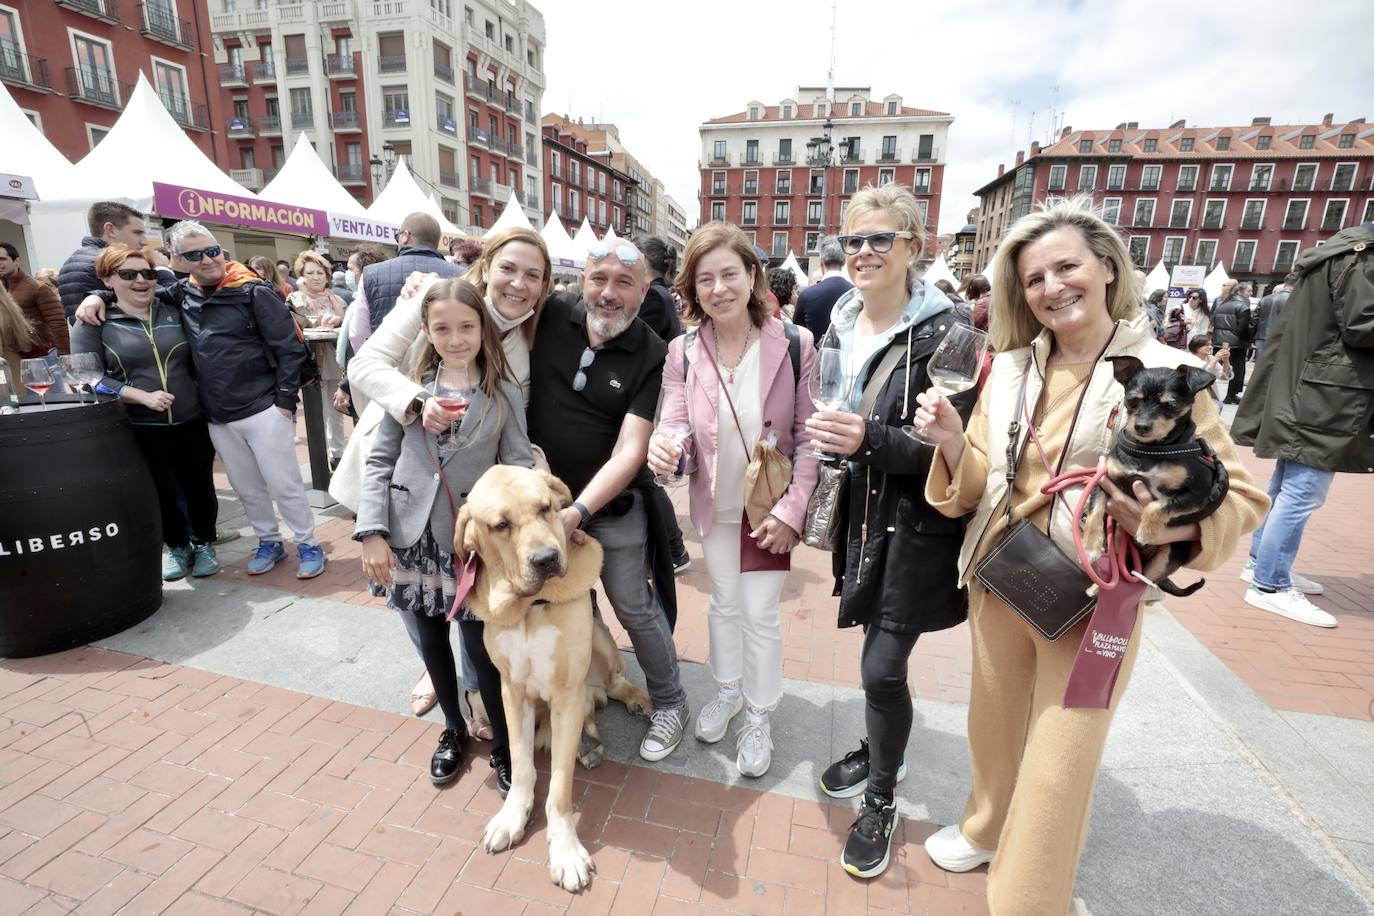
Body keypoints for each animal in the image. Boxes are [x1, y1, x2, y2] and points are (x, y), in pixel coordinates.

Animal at [456, 466, 654, 889]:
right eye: (501, 525)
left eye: (546, 508)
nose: (546, 559)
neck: (529, 605)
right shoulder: (512, 692)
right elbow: (522, 766)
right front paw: (511, 817)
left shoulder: (566, 694)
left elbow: (560, 788)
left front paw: (565, 851)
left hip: (599, 640)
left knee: (613, 681)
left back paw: (634, 702)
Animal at [1082, 354, 1236, 598]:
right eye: (1132, 400)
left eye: (1170, 405)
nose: (1141, 426)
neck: (1151, 450)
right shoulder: (1105, 481)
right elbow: (1095, 513)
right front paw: (1090, 546)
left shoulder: (1198, 494)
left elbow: (1161, 505)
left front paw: (1146, 531)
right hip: (1120, 540)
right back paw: (1098, 586)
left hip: (1165, 558)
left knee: (1141, 582)